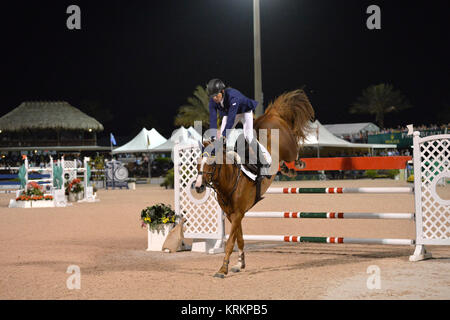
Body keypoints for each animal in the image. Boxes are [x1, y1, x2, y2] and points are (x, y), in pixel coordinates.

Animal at [195, 89, 314, 278]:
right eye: (197, 163)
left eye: (212, 164)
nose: (198, 187)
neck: (230, 179)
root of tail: (271, 114)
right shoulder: (233, 214)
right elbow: (240, 239)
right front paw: (240, 263)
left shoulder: (238, 214)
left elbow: (230, 242)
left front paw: (223, 269)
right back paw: (286, 169)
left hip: (288, 146)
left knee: (295, 148)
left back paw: (299, 163)